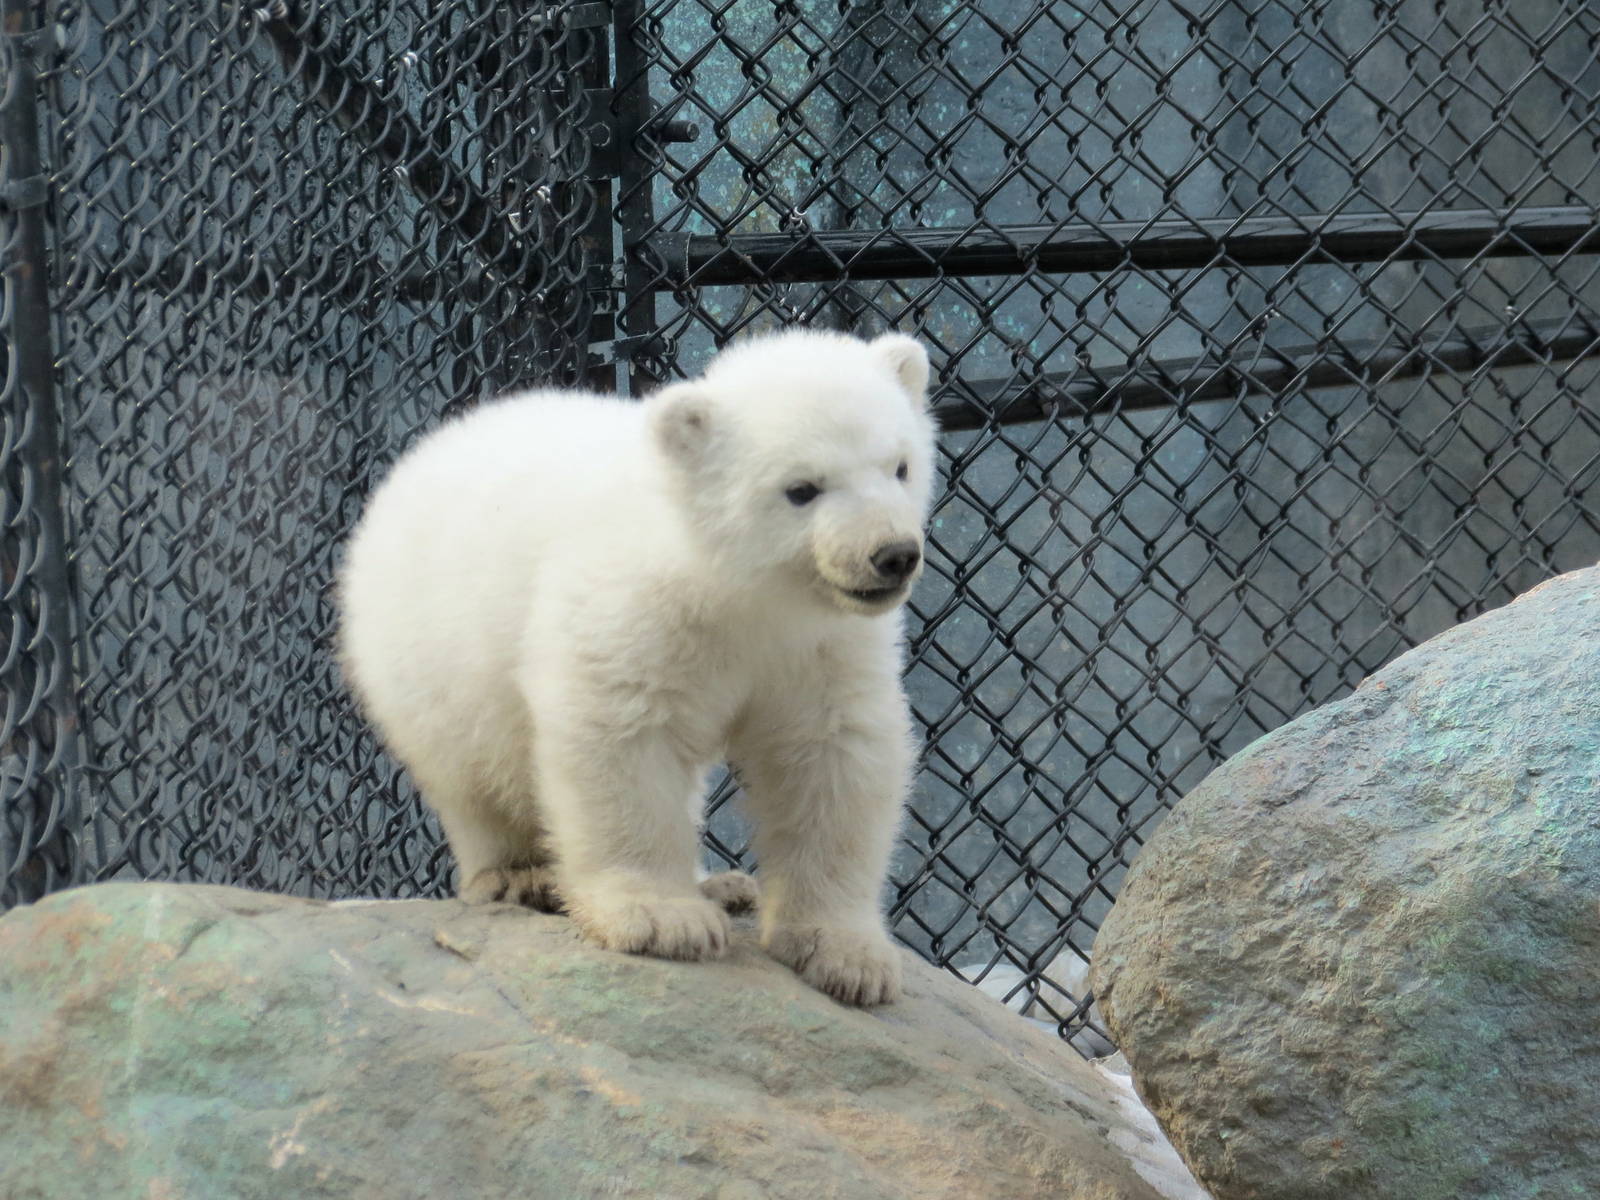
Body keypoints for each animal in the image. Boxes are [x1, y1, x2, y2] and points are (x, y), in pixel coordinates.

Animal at [338, 329, 936, 1006]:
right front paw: (663, 919)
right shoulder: (635, 610)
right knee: (472, 768)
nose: (892, 554)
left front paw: (847, 955)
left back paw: (723, 885)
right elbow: (622, 738)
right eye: (802, 488)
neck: (732, 586)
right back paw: (519, 875)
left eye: (900, 466)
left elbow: (832, 755)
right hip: (428, 651)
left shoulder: (819, 644)